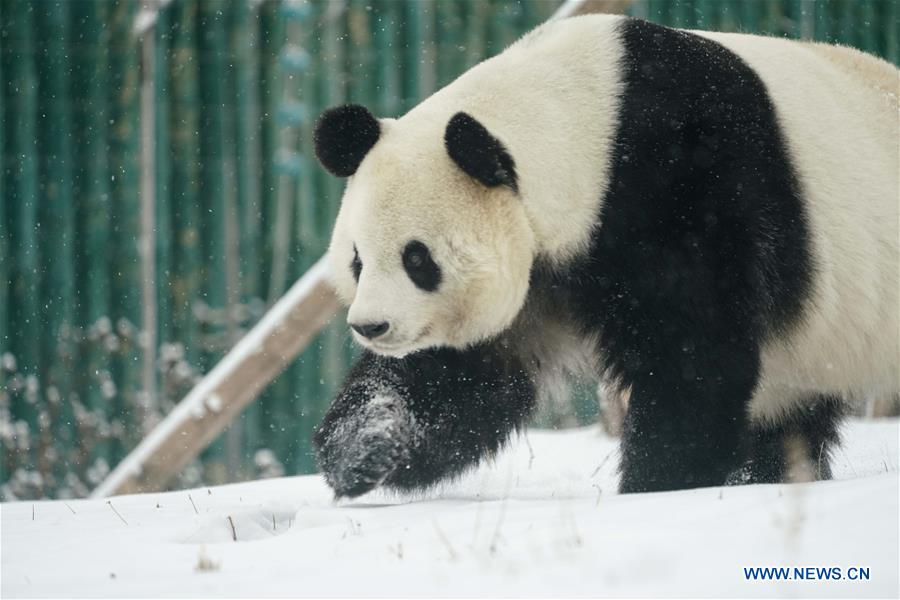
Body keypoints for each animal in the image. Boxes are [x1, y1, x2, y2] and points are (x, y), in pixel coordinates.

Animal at [310, 15, 899, 498]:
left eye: (418, 260)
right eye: (358, 260)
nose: (372, 326)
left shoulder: (688, 192)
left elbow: (694, 354)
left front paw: (659, 482)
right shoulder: (542, 271)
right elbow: (459, 376)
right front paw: (365, 445)